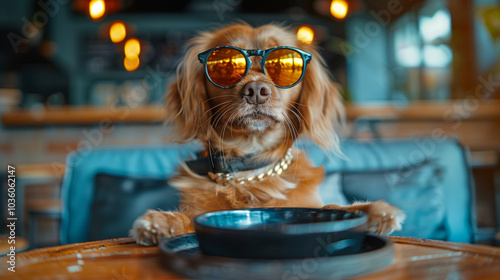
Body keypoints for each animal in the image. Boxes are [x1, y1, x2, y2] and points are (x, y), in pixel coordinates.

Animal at [131, 22, 404, 245]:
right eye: (224, 63)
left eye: (284, 62)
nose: (255, 90)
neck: (251, 170)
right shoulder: (197, 210)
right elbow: (189, 219)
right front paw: (162, 222)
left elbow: (331, 206)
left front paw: (370, 211)